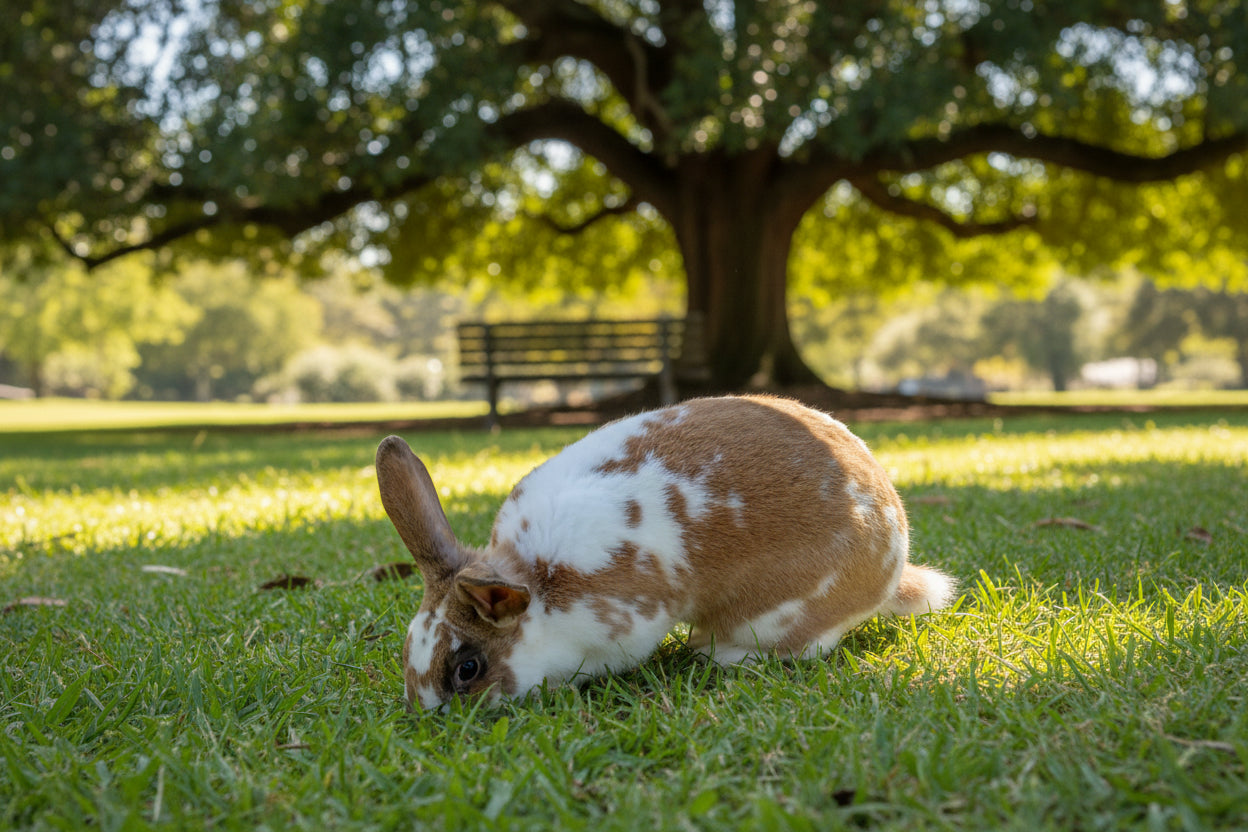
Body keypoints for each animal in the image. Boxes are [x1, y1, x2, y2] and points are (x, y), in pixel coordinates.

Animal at [376, 394, 955, 710]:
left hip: (775, 618)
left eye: (467, 669)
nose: (430, 714)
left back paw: (715, 654)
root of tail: (892, 563)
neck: (539, 586)